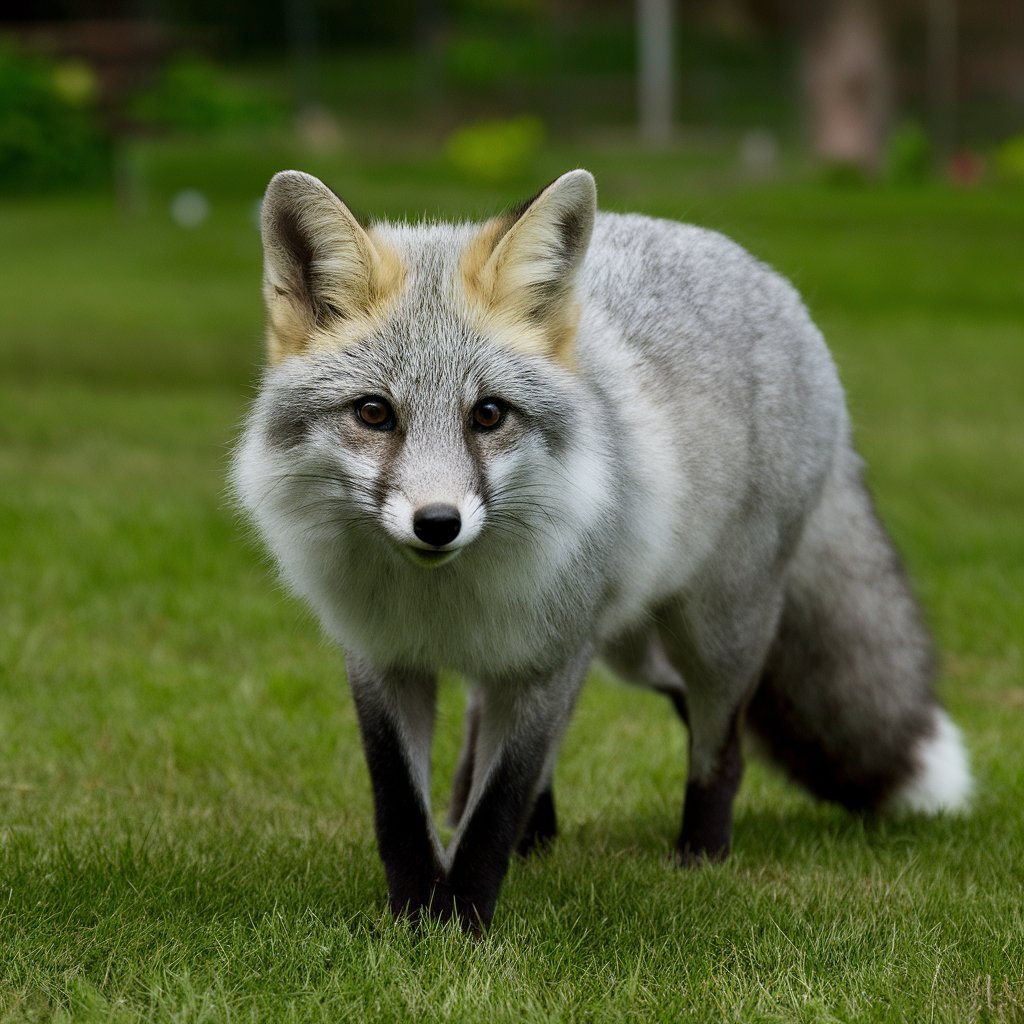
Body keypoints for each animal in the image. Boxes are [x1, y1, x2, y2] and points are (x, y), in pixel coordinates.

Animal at [231, 167, 972, 934]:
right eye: (374, 413)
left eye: (488, 414)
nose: (437, 524)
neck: (442, 600)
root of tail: (763, 274)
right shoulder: (384, 661)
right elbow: (403, 808)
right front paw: (413, 921)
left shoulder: (549, 660)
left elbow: (498, 804)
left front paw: (463, 924)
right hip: (614, 648)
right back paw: (541, 838)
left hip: (706, 634)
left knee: (723, 745)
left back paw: (700, 857)